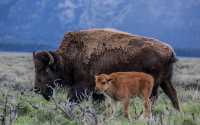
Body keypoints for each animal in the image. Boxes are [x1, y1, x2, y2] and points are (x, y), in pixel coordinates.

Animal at [32, 28, 180, 110]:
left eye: (45, 70)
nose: (37, 89)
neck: (72, 56)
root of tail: (170, 51)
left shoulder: (82, 87)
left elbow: (72, 99)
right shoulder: (95, 91)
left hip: (154, 84)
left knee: (152, 99)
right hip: (166, 81)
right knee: (173, 95)